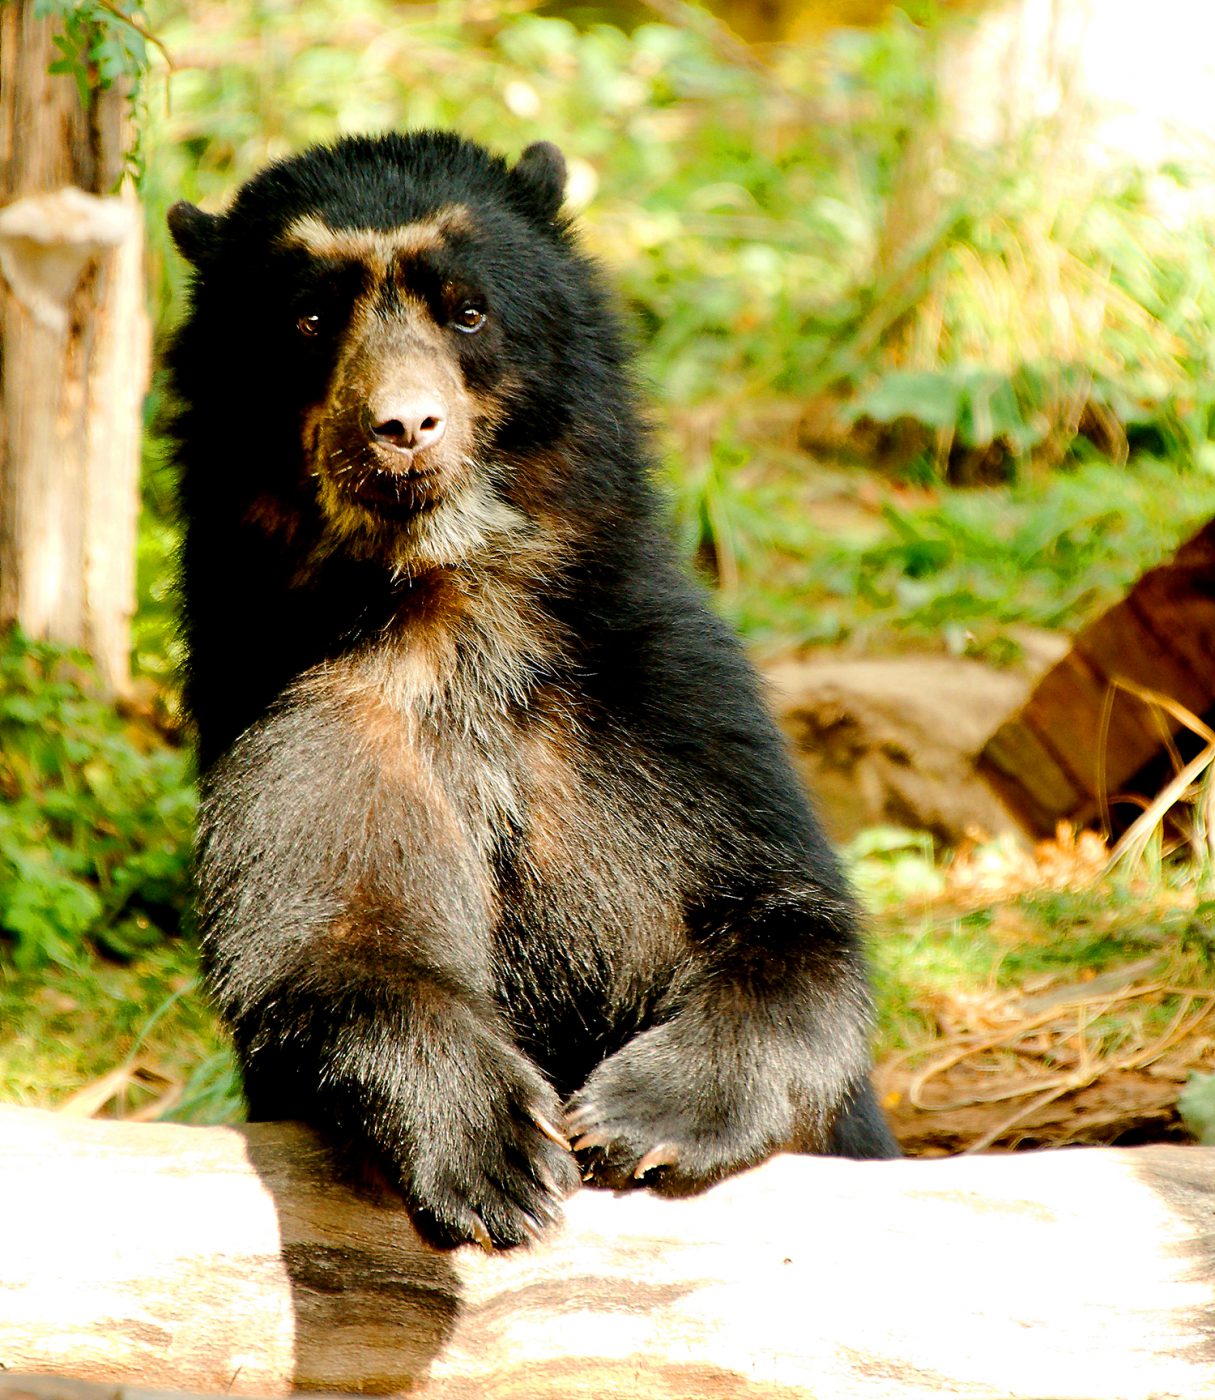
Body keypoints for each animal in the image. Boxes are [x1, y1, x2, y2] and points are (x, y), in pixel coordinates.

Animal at [165, 128, 895, 1248]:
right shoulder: (300, 705)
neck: (450, 601)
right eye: (309, 317)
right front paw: (498, 1151)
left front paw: (641, 1116)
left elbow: (785, 920)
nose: (404, 426)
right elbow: (324, 936)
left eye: (467, 308)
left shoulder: (656, 701)